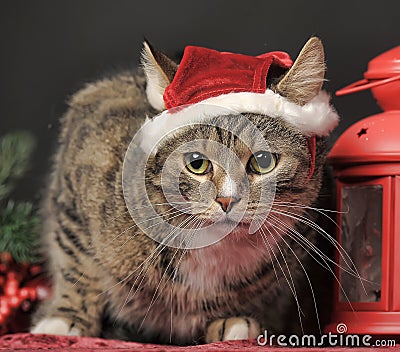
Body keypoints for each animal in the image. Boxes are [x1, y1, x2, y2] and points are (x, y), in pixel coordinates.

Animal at [29, 37, 340, 346]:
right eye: (197, 163)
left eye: (263, 161)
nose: (226, 199)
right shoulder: (78, 180)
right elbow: (78, 266)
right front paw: (65, 320)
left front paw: (230, 319)